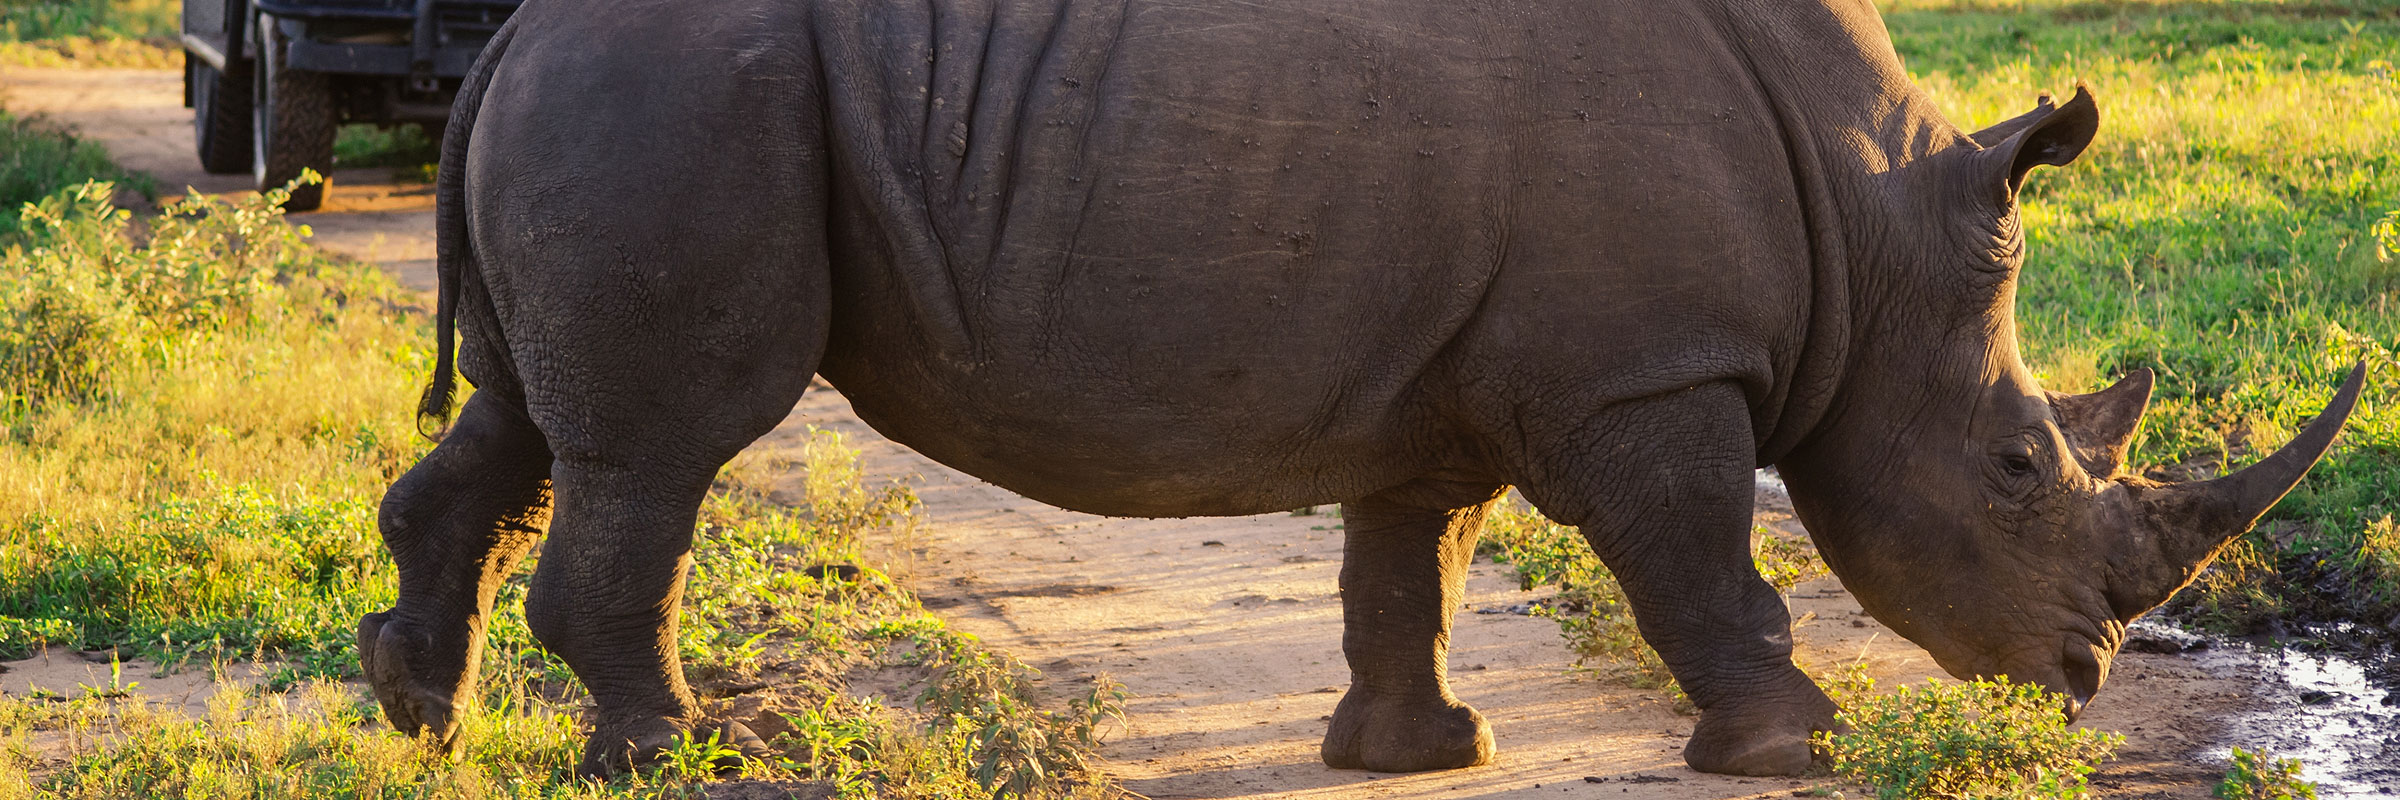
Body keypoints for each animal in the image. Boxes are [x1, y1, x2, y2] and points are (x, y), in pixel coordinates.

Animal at [353, 0, 2368, 779]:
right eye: (2022, 465)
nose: (2081, 678)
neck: (1869, 243)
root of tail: (512, 32)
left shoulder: (1457, 377)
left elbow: (1416, 562)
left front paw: (1420, 752)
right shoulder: (1641, 375)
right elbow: (1701, 562)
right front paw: (1797, 743)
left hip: (637, 97)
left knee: (526, 423)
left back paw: (421, 719)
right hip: (679, 92)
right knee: (664, 442)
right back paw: (674, 755)